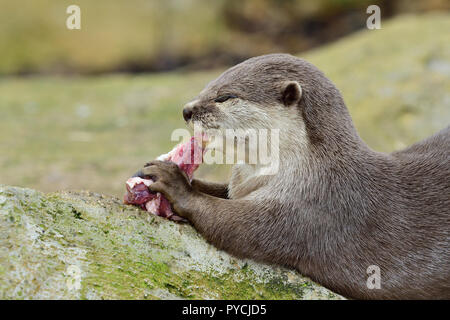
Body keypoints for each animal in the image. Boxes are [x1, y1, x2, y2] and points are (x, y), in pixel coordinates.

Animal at [138, 53, 450, 300]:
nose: (186, 110)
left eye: (225, 96)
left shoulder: (313, 207)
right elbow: (223, 191)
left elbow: (235, 226)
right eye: (206, 86)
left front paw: (175, 182)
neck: (308, 168)